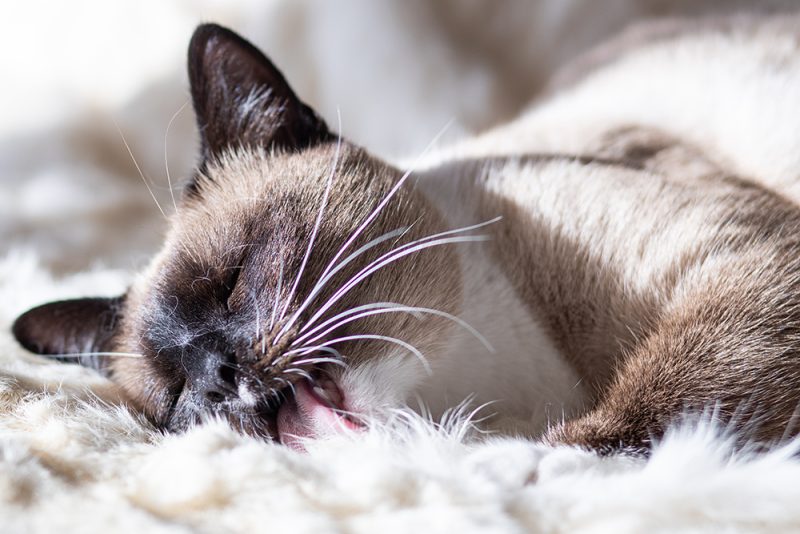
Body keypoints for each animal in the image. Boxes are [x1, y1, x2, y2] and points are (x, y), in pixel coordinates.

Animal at [12, 15, 800, 452]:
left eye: (230, 286)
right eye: (177, 396)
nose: (218, 376)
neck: (505, 388)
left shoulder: (739, 261)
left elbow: (643, 424)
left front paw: (527, 466)